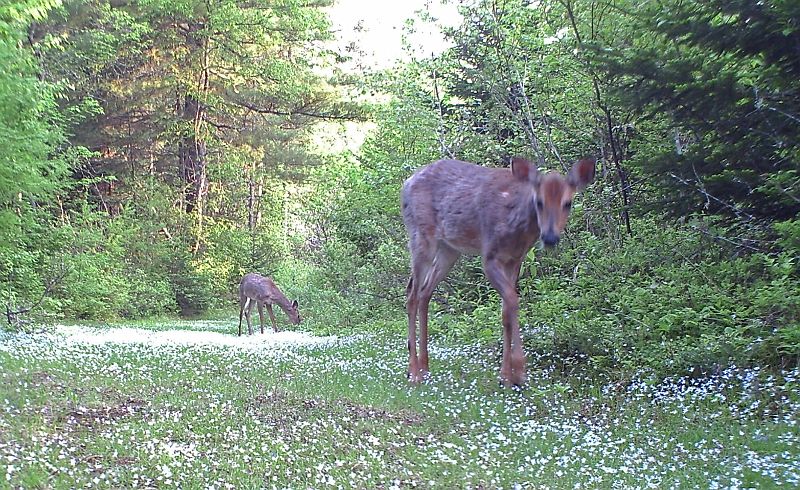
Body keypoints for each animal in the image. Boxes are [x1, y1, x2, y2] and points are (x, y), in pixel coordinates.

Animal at [400, 157, 592, 386]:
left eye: (568, 203)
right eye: (539, 202)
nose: (550, 238)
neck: (517, 226)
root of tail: (406, 183)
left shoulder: (515, 260)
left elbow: (505, 311)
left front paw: (505, 375)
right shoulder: (490, 257)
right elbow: (513, 301)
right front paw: (519, 370)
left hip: (449, 249)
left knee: (425, 292)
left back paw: (425, 366)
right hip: (420, 235)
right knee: (412, 293)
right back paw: (414, 371)